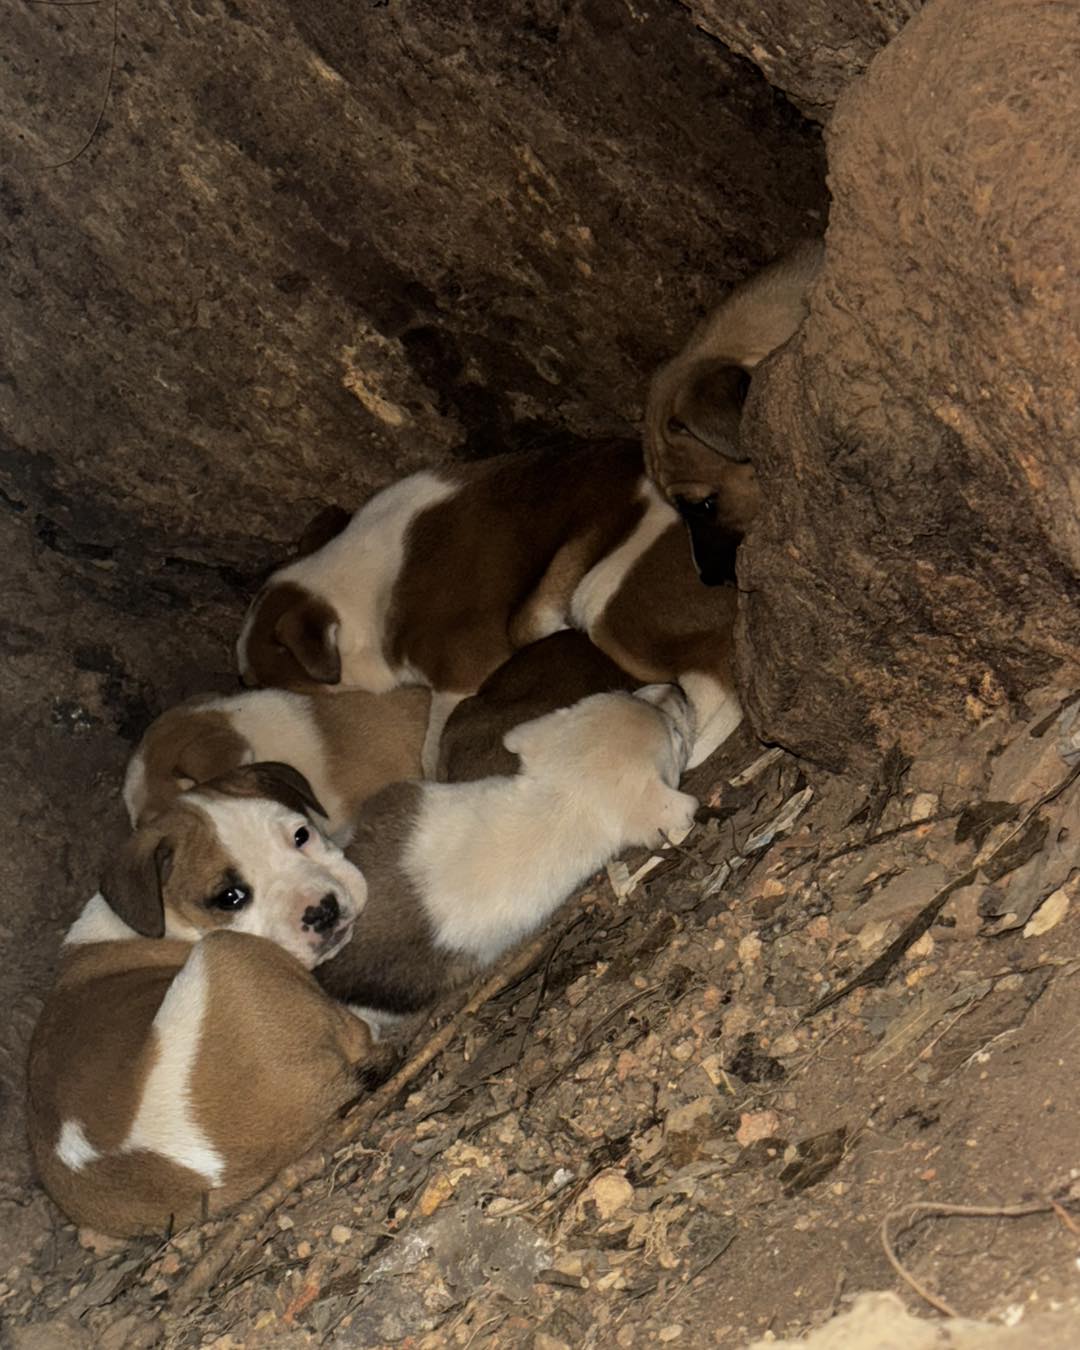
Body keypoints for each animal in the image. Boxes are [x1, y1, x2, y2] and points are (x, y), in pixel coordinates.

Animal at [26, 761, 375, 1236]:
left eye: (301, 835)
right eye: (230, 898)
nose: (322, 911)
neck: (170, 922)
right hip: (229, 950)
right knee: (357, 1030)